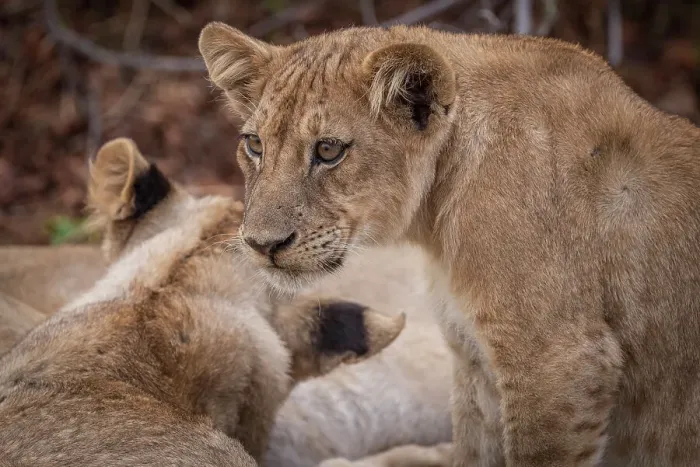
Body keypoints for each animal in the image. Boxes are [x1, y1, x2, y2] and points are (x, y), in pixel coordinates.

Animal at [199, 22, 700, 467]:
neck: (437, 216)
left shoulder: (561, 362)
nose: (261, 244)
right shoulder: (475, 359)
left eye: (328, 150)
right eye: (255, 145)